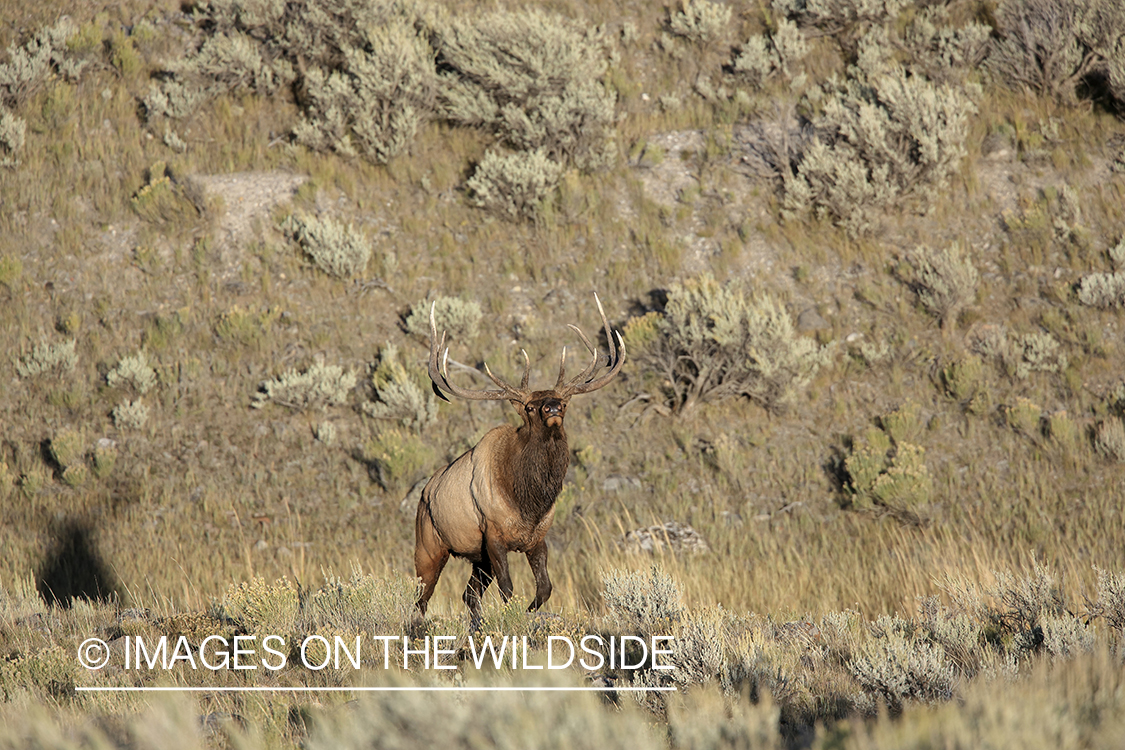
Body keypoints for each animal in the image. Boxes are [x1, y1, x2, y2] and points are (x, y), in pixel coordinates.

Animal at [414, 294, 625, 630]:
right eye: (529, 406)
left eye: (563, 402)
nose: (552, 408)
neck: (528, 502)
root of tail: (425, 493)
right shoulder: (494, 536)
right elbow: (508, 589)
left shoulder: (537, 538)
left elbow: (545, 588)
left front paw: (530, 612)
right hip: (429, 547)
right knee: (421, 599)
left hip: (478, 559)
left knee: (468, 595)